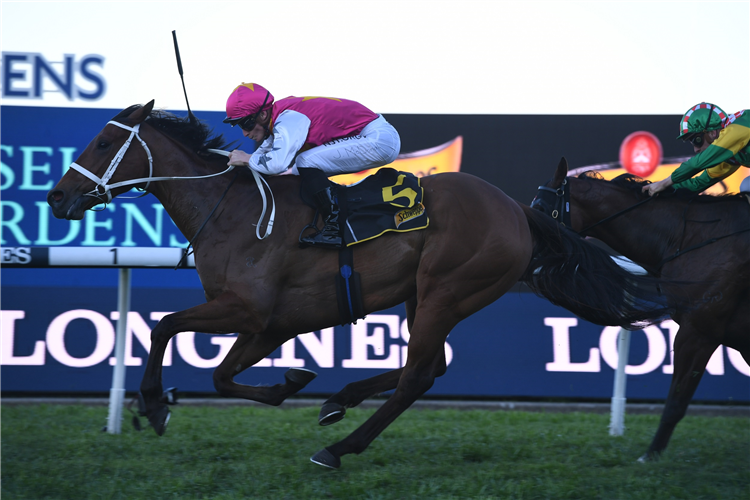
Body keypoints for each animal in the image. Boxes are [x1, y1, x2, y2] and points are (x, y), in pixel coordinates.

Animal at [48, 101, 676, 468]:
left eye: (104, 142)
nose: (56, 197)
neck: (232, 210)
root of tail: (517, 209)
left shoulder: (248, 310)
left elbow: (164, 327)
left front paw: (155, 404)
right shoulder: (271, 325)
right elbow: (221, 376)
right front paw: (291, 382)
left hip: (448, 288)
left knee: (419, 374)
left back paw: (339, 446)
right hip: (424, 294)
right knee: (431, 365)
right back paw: (339, 401)